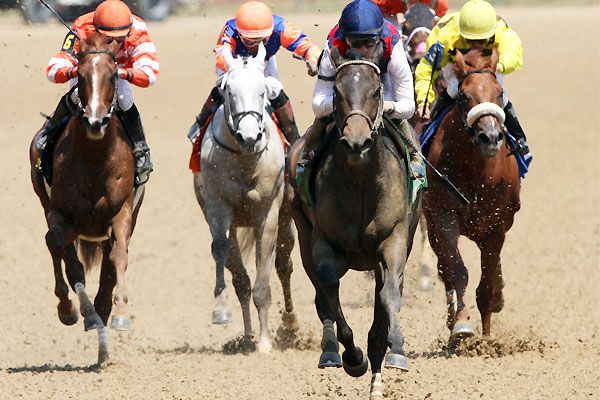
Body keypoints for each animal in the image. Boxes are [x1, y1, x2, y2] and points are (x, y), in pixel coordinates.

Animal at [29, 32, 144, 366]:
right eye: (79, 75)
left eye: (115, 74)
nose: (95, 122)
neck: (94, 159)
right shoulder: (60, 214)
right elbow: (68, 261)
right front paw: (77, 311)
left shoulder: (122, 215)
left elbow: (118, 258)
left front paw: (120, 314)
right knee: (56, 247)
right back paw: (77, 311)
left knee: (107, 265)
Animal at [193, 44, 297, 353]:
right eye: (228, 92)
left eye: (262, 92)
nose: (249, 136)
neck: (244, 160)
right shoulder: (218, 208)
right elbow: (221, 251)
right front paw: (221, 311)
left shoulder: (267, 213)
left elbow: (264, 277)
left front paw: (265, 342)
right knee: (241, 278)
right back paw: (248, 336)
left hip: (286, 218)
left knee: (284, 265)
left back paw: (288, 324)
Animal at [288, 44, 421, 399]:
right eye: (336, 91)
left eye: (376, 91)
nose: (357, 141)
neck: (361, 181)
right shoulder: (323, 245)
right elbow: (330, 290)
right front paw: (353, 357)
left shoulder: (393, 241)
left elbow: (389, 295)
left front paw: (396, 348)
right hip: (303, 235)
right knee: (322, 295)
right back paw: (332, 352)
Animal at [423, 48, 521, 339]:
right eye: (464, 97)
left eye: (499, 92)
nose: (490, 137)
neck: (475, 171)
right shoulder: (444, 214)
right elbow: (457, 270)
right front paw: (462, 323)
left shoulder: (496, 224)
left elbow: (486, 283)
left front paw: (486, 338)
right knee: (444, 268)